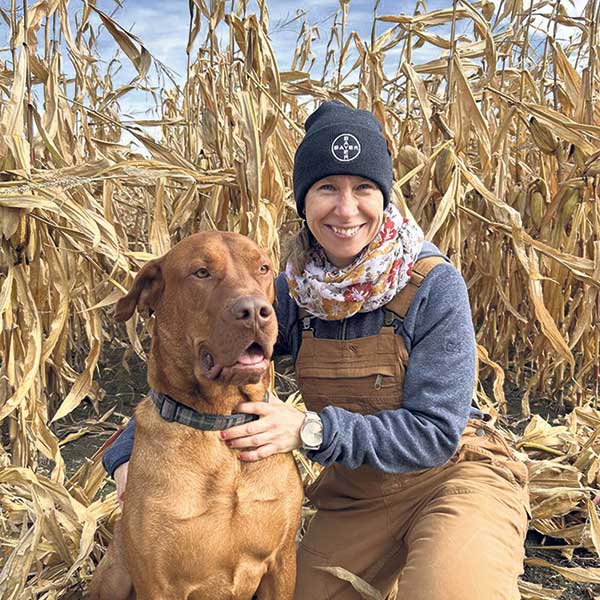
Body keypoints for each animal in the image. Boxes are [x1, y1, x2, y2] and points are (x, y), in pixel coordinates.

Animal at [89, 233, 302, 600]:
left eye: (263, 267)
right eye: (201, 272)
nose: (255, 312)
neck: (220, 422)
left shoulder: (282, 563)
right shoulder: (159, 584)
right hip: (114, 574)